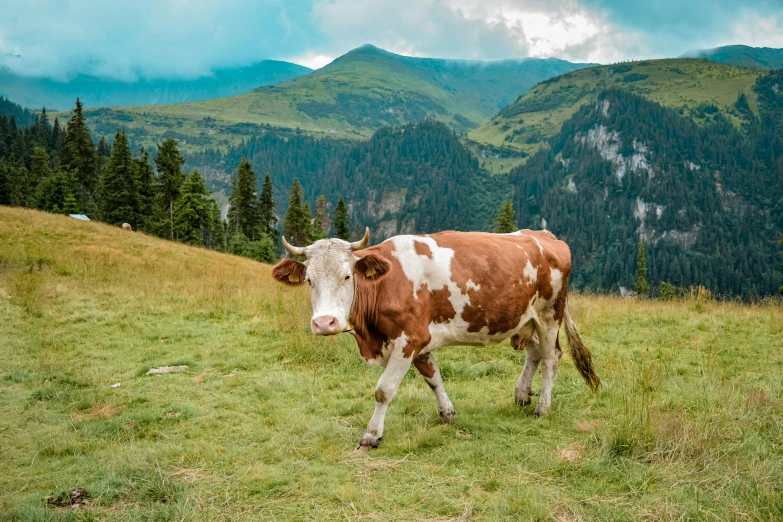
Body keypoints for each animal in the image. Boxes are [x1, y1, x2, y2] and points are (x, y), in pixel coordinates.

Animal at [272, 225, 604, 448]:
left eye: (347, 276)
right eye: (309, 280)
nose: (324, 323)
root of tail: (545, 235)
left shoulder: (409, 339)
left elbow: (384, 390)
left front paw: (371, 435)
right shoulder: (420, 341)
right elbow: (433, 378)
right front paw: (446, 413)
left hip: (549, 314)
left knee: (551, 358)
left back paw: (542, 408)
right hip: (524, 320)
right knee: (534, 352)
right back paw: (522, 394)